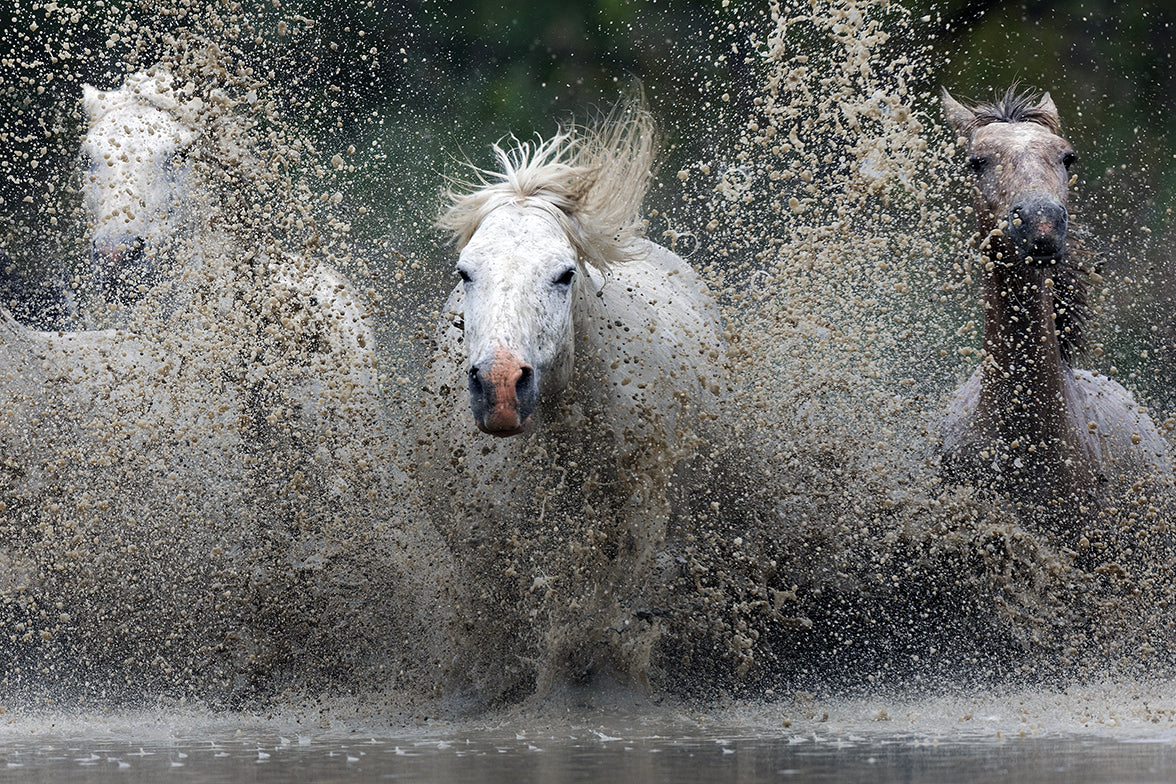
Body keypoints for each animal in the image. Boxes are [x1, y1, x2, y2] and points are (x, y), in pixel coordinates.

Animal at [423, 102, 724, 700]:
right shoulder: (487, 540)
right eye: (465, 271)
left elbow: (600, 612)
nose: (500, 390)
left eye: (564, 275)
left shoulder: (636, 525)